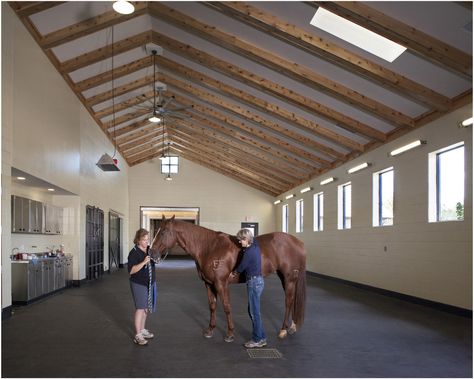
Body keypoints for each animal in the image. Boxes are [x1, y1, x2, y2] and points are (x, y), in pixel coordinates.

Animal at [150, 217, 310, 344]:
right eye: (156, 230)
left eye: (163, 232)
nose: (151, 253)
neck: (209, 247)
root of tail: (298, 242)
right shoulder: (208, 284)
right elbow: (212, 306)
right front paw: (210, 330)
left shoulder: (221, 284)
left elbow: (226, 307)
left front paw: (230, 334)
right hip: (285, 278)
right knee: (292, 300)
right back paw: (292, 327)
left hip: (289, 279)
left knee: (288, 301)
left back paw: (283, 330)